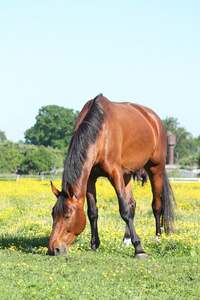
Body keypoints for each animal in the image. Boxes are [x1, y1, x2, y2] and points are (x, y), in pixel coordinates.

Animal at [48, 93, 175, 258]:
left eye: (67, 216)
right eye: (53, 214)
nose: (54, 249)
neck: (100, 132)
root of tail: (154, 118)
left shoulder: (115, 173)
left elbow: (124, 210)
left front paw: (139, 249)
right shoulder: (90, 178)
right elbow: (93, 212)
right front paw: (94, 244)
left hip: (155, 169)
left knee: (156, 205)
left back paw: (157, 238)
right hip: (127, 174)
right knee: (132, 204)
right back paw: (126, 240)